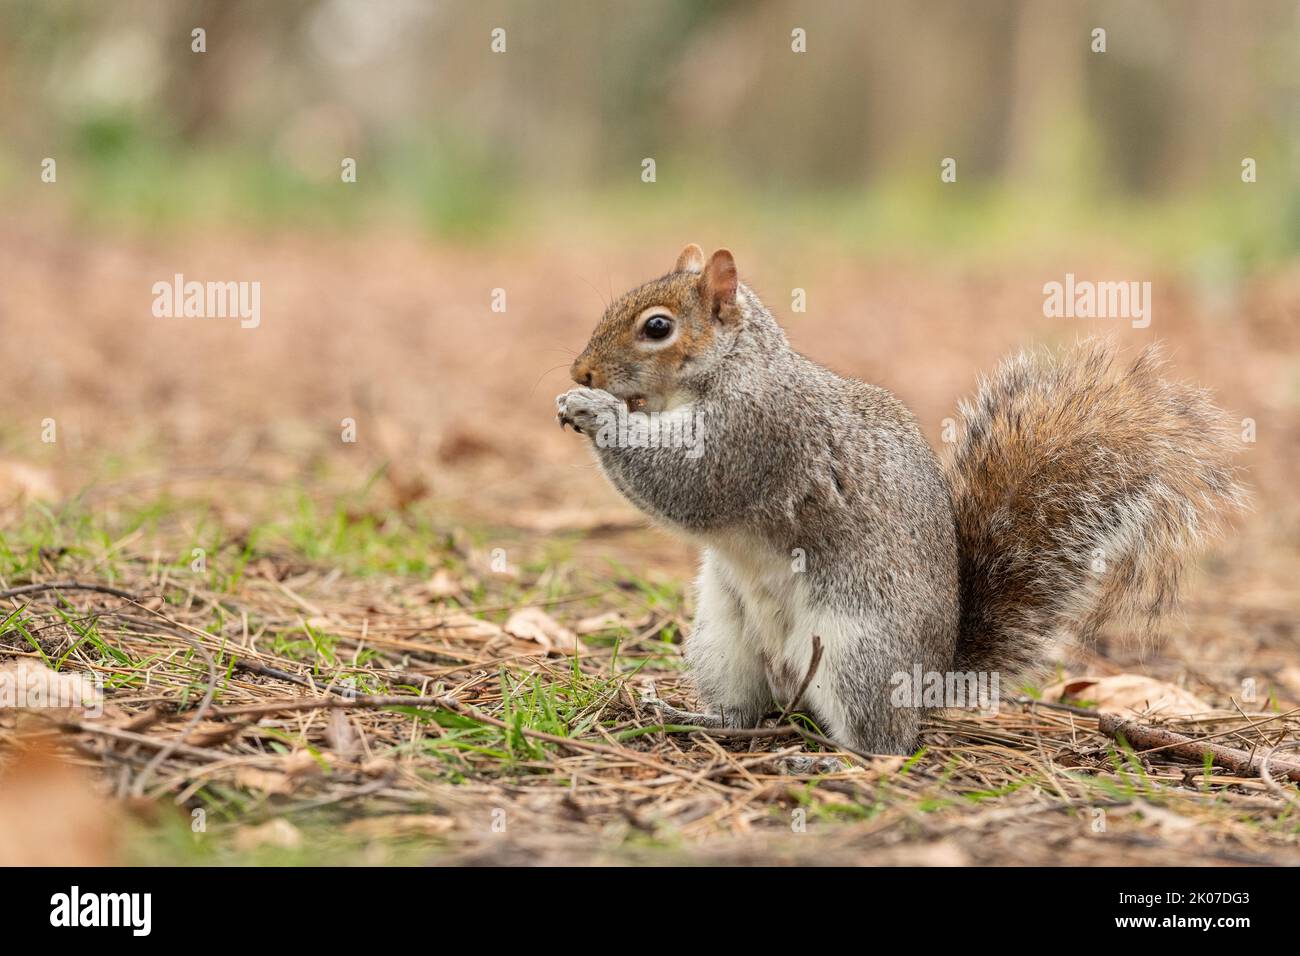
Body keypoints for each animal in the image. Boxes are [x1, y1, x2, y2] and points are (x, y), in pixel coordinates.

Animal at [553, 244, 1242, 754]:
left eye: (658, 328)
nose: (581, 371)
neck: (734, 369)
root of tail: (932, 680)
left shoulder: (759, 434)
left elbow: (690, 484)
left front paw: (596, 411)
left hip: (859, 649)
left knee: (883, 741)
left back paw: (835, 760)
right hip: (723, 640)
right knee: (746, 712)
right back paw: (695, 719)